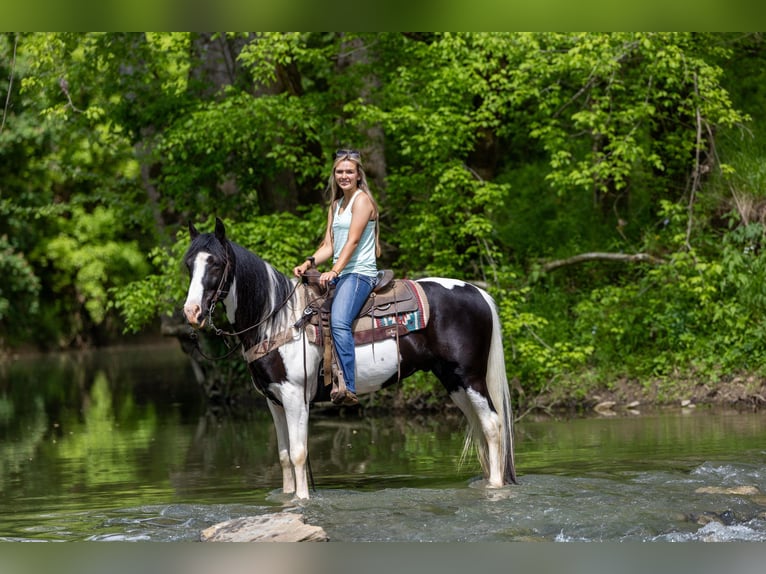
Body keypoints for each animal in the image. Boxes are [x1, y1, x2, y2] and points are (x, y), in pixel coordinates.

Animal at [183, 218, 520, 502]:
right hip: (453, 381)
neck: (278, 320)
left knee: (492, 425)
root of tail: (478, 293)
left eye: (216, 264)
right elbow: (284, 456)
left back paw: (494, 488)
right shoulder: (274, 400)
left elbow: (299, 453)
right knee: (481, 426)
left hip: (470, 377)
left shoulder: (295, 397)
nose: (191, 312)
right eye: (189, 265)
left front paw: (302, 502)